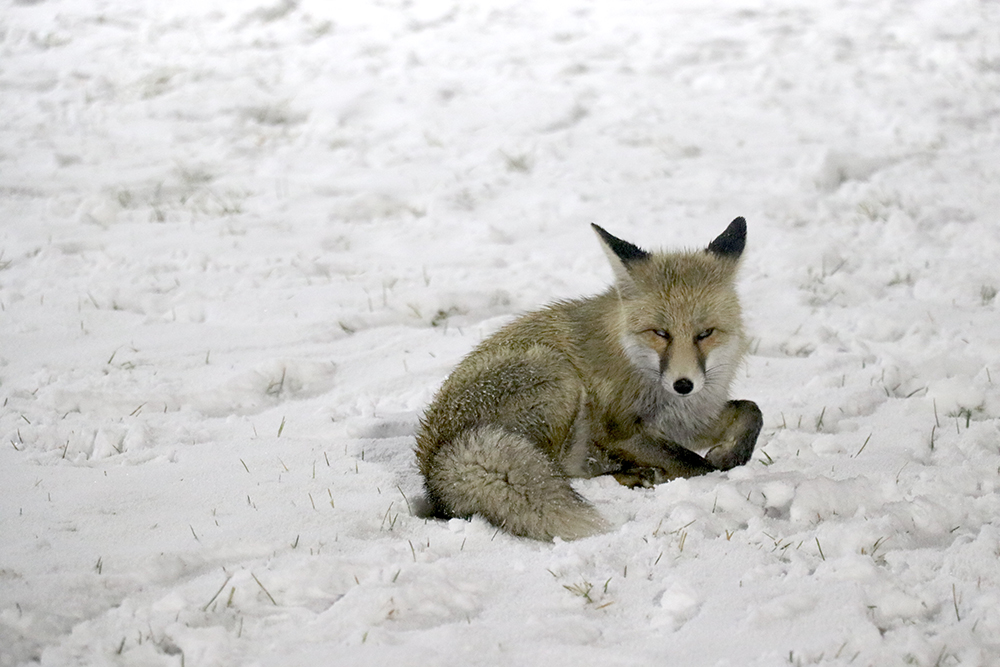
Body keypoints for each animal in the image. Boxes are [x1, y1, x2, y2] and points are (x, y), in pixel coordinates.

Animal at [418, 219, 760, 544]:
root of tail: (434, 466)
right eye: (660, 333)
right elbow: (696, 464)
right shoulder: (620, 432)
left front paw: (730, 453)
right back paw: (637, 476)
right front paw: (711, 468)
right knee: (566, 473)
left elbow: (751, 411)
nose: (683, 384)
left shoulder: (689, 420)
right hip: (561, 378)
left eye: (706, 334)